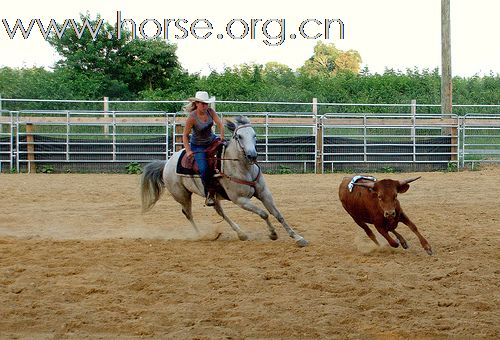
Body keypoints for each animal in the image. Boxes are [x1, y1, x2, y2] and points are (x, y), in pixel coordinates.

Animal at [141, 115, 308, 247]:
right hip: (182, 196)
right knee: (188, 214)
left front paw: (298, 237)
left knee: (220, 212)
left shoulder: (264, 193)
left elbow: (278, 214)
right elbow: (264, 214)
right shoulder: (240, 200)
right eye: (239, 136)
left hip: (212, 196)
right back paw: (200, 235)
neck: (242, 168)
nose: (252, 155)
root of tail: (167, 163)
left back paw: (241, 234)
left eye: (254, 135)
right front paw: (273, 234)